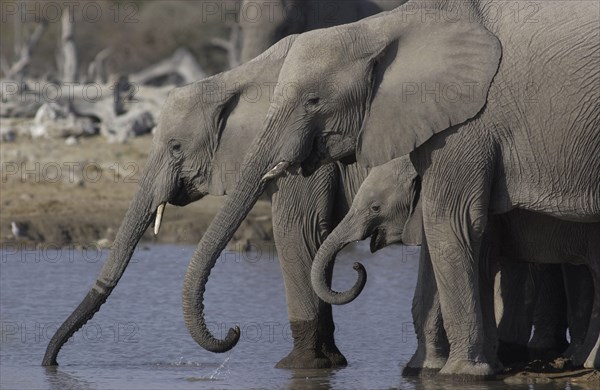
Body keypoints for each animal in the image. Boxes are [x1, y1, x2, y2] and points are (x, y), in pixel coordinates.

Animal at [41, 33, 370, 368]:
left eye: (175, 147)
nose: (51, 363)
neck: (232, 79)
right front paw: (331, 362)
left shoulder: (301, 147)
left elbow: (298, 232)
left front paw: (299, 366)